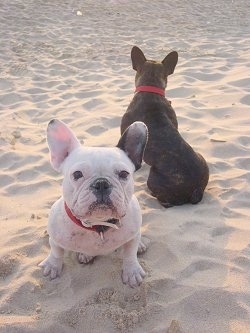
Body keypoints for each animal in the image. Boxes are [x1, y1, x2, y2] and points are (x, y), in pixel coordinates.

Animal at [39, 118, 148, 286]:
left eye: (124, 174)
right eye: (77, 174)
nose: (101, 183)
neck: (98, 225)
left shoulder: (131, 238)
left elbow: (130, 254)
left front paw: (132, 272)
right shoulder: (56, 238)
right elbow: (56, 251)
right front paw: (52, 266)